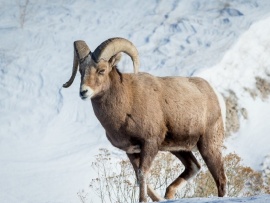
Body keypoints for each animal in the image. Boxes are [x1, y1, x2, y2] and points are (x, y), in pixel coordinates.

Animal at [62, 37, 226, 201]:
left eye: (101, 70)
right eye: (81, 71)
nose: (83, 92)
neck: (126, 105)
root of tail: (211, 92)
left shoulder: (149, 144)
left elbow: (142, 174)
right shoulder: (131, 151)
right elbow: (138, 175)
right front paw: (157, 199)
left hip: (208, 146)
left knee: (220, 179)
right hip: (179, 149)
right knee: (194, 167)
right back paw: (167, 195)